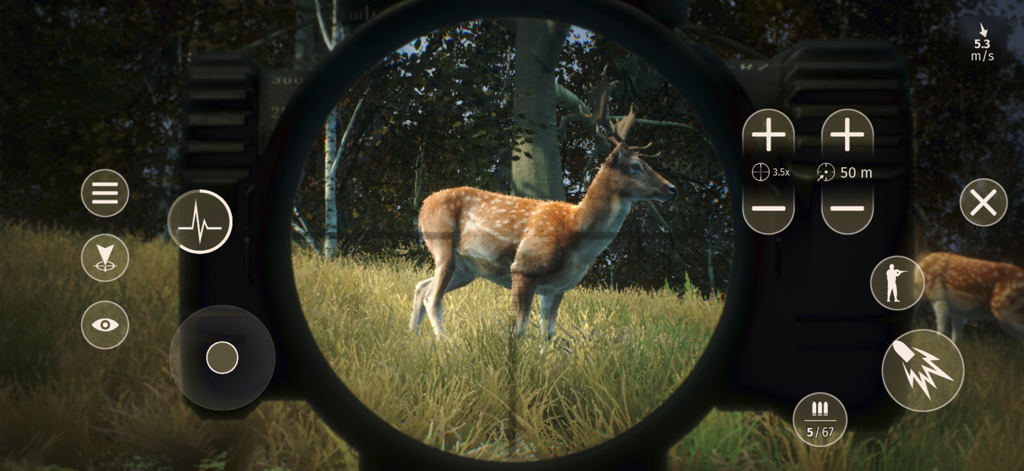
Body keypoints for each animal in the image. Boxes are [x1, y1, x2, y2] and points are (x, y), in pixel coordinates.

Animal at [410, 79, 677, 340]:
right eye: (636, 166)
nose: (672, 188)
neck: (575, 231)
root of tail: (423, 206)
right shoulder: (523, 268)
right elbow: (518, 330)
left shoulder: (557, 286)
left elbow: (547, 334)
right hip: (443, 244)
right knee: (432, 298)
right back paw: (446, 344)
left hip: (467, 268)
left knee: (421, 287)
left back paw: (411, 339)